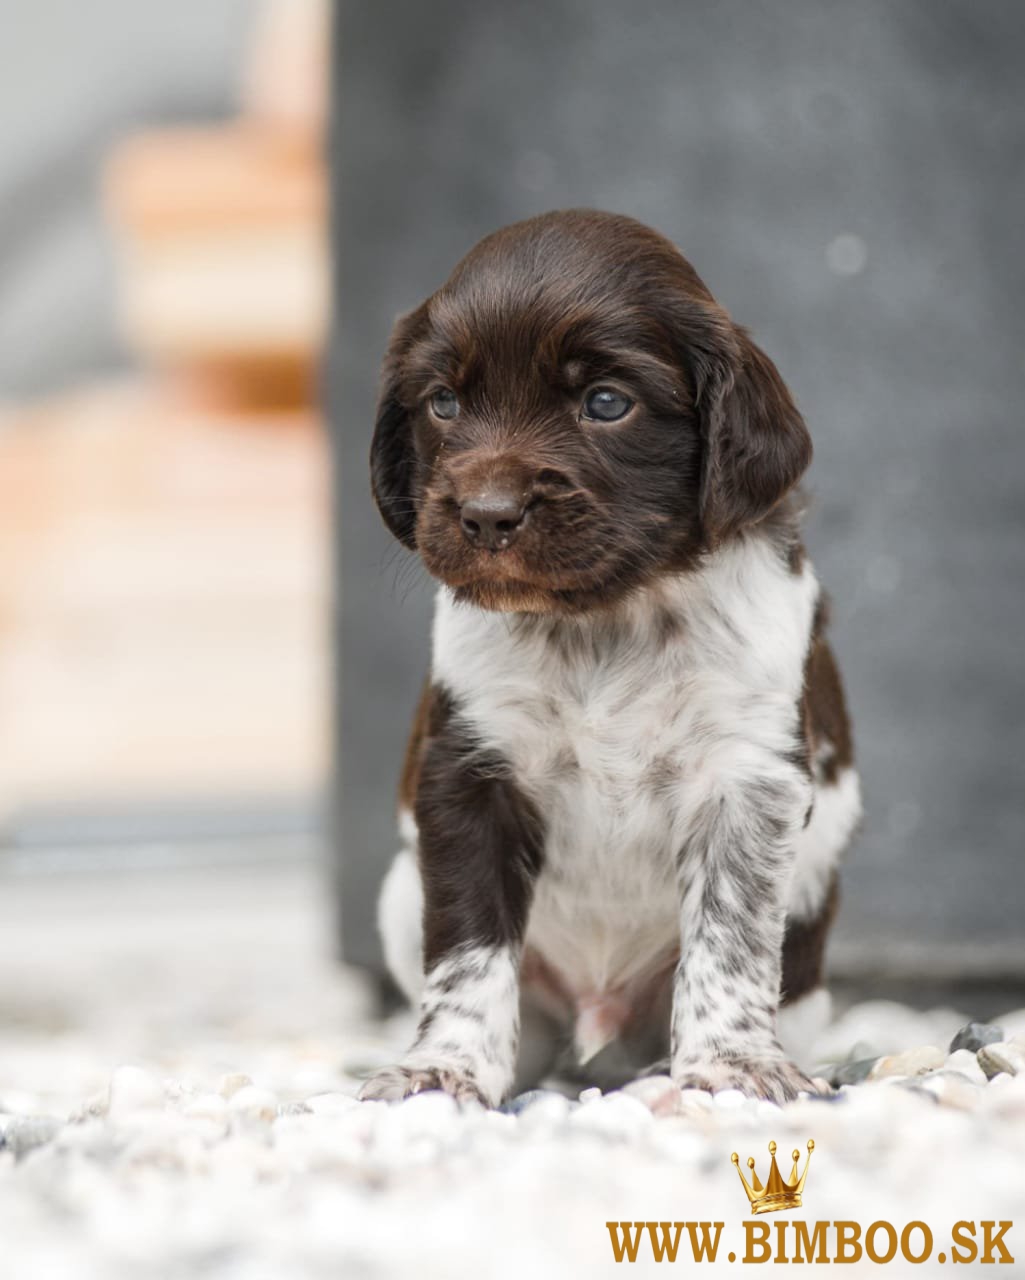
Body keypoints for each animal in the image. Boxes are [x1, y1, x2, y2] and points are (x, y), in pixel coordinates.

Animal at [360, 212, 854, 1111]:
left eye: (605, 403)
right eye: (443, 402)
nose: (486, 515)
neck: (602, 621)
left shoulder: (747, 780)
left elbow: (728, 936)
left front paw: (730, 1064)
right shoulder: (467, 773)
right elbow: (466, 951)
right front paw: (443, 1068)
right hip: (397, 896)